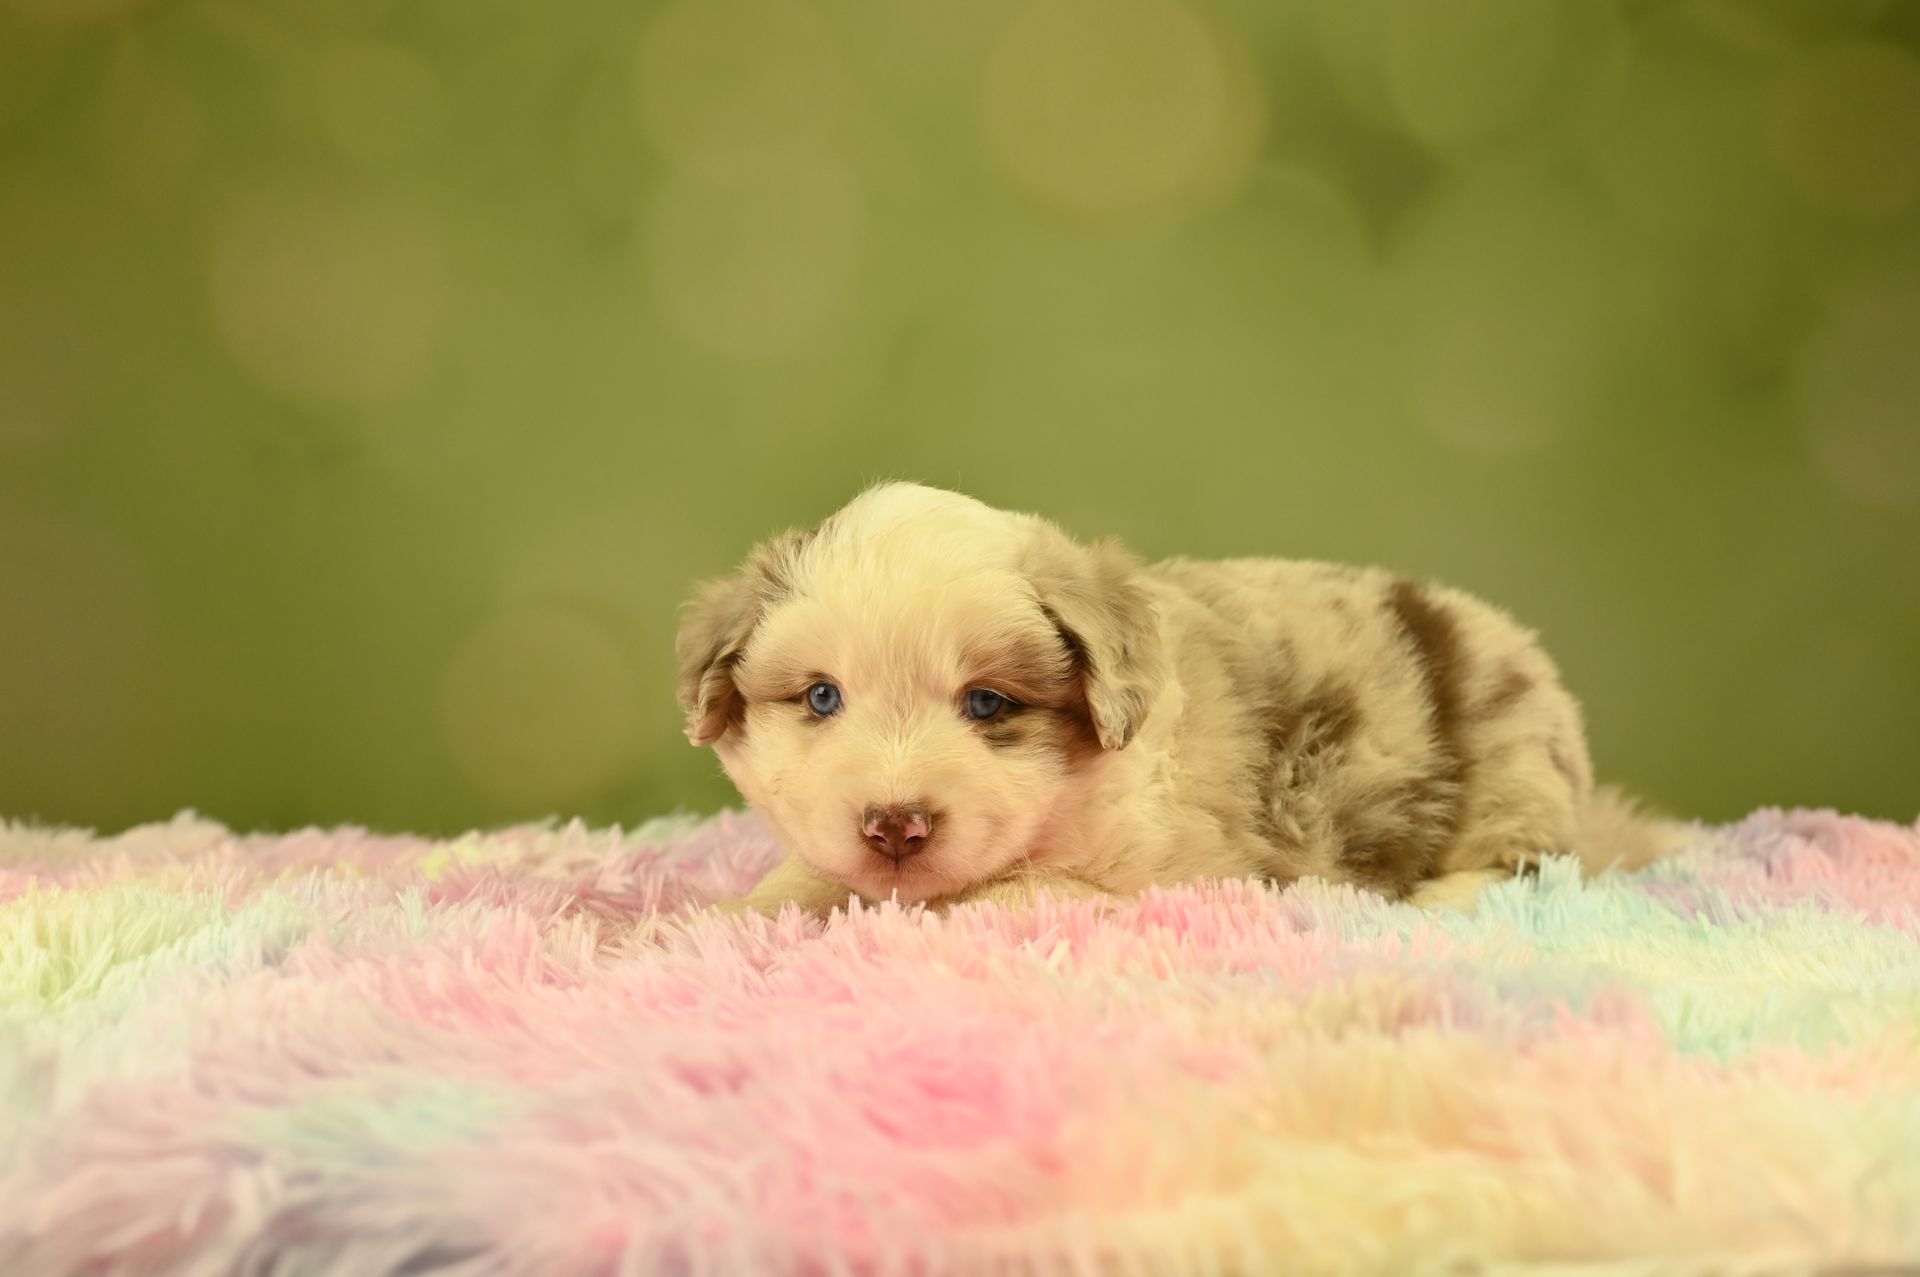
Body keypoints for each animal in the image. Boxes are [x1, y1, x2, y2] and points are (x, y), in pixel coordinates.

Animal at [676, 483, 1676, 916]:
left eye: (988, 704)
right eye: (821, 696)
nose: (895, 825)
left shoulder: (1163, 871)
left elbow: (996, 892)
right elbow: (799, 883)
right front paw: (710, 922)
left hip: (1513, 770)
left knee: (1533, 863)